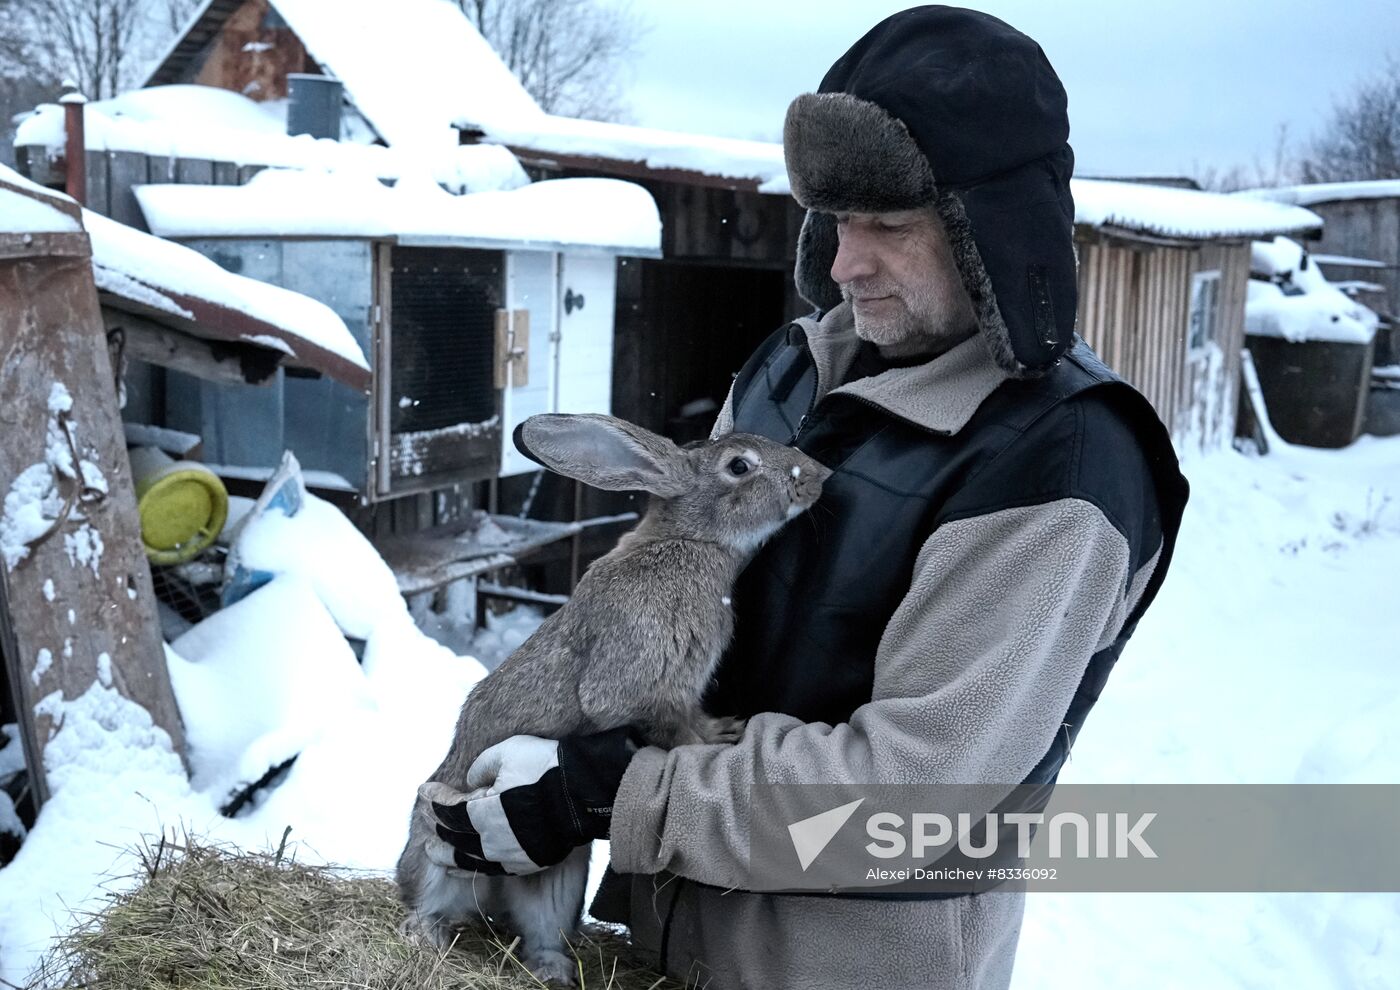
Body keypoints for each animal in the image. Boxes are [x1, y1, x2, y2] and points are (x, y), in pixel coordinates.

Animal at [394, 411, 828, 985]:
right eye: (739, 466)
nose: (819, 475)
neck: (692, 539)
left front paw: (720, 732)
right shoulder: (643, 686)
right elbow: (666, 727)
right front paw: (712, 744)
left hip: (559, 876)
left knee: (539, 929)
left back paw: (553, 970)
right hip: (436, 848)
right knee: (427, 901)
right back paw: (426, 934)